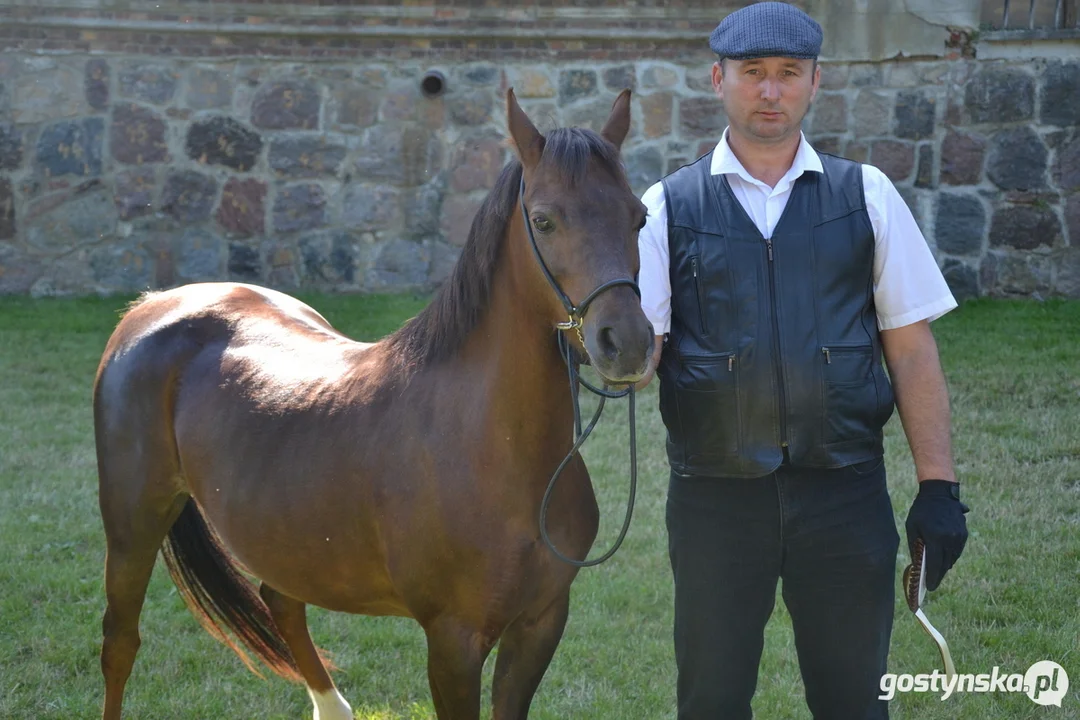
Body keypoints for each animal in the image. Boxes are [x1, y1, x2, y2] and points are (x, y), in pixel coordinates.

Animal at [95, 91, 648, 720]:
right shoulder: (453, 641)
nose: (628, 342)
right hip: (133, 522)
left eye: (639, 217)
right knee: (120, 641)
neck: (495, 450)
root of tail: (151, 305)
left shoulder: (540, 624)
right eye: (544, 220)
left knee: (281, 602)